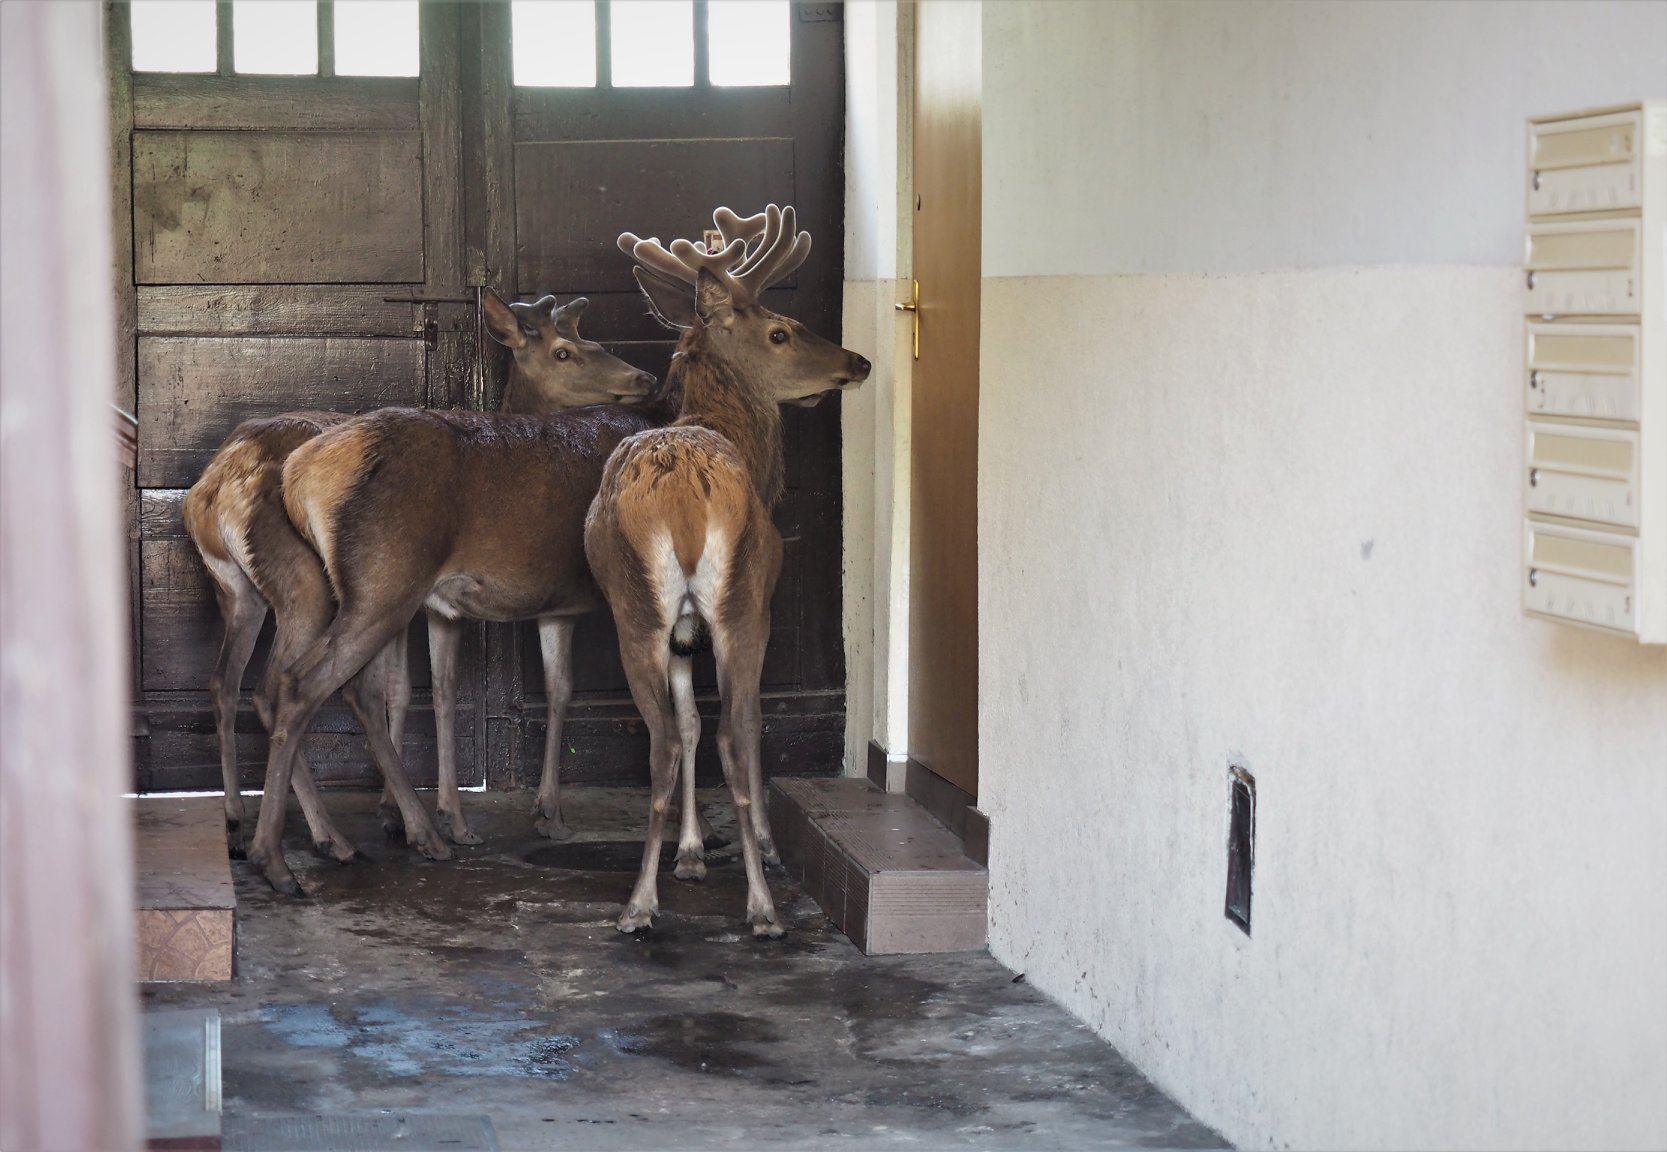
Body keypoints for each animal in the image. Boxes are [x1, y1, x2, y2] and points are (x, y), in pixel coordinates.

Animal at [185, 293, 646, 860]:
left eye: (594, 339)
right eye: (564, 352)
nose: (643, 376)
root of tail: (216, 484)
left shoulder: (433, 607)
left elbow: (428, 690)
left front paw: (409, 811)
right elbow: (407, 689)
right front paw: (422, 815)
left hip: (239, 591)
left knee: (226, 682)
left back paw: (239, 819)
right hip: (318, 585)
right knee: (281, 687)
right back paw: (329, 837)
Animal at [586, 205, 873, 940]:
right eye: (780, 330)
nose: (857, 360)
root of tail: (683, 501)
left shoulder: (683, 633)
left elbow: (689, 721)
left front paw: (688, 852)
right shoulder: (760, 604)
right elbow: (741, 727)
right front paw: (762, 848)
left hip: (635, 610)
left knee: (664, 739)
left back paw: (639, 903)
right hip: (738, 602)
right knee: (735, 730)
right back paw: (762, 907)